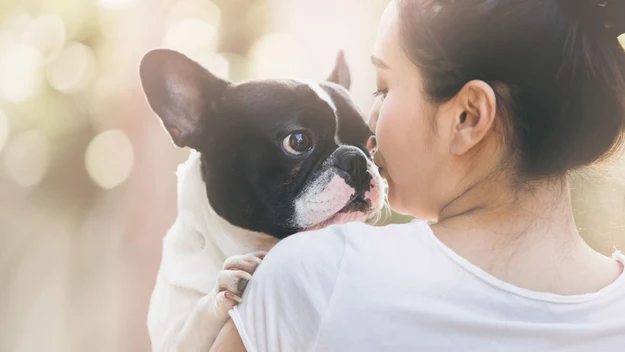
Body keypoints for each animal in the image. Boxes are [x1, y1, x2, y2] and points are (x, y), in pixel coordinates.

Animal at [140, 49, 386, 352]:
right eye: (299, 141)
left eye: (372, 143)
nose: (357, 160)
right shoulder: (171, 336)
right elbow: (193, 325)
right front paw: (222, 285)